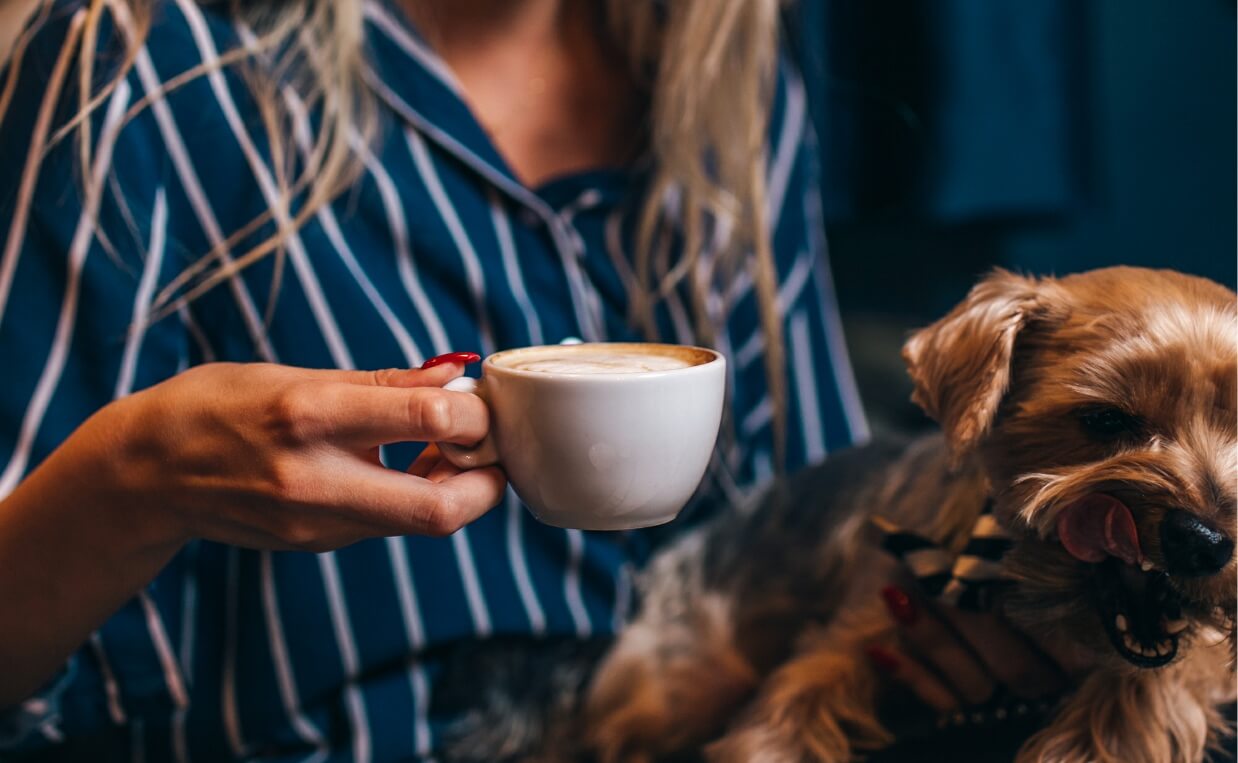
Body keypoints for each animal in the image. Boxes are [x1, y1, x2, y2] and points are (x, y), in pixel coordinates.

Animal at [445, 265, 1238, 758]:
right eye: (1104, 421)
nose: (1204, 540)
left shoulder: (1164, 663)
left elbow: (1140, 703)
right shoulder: (860, 628)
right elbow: (778, 721)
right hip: (676, 678)